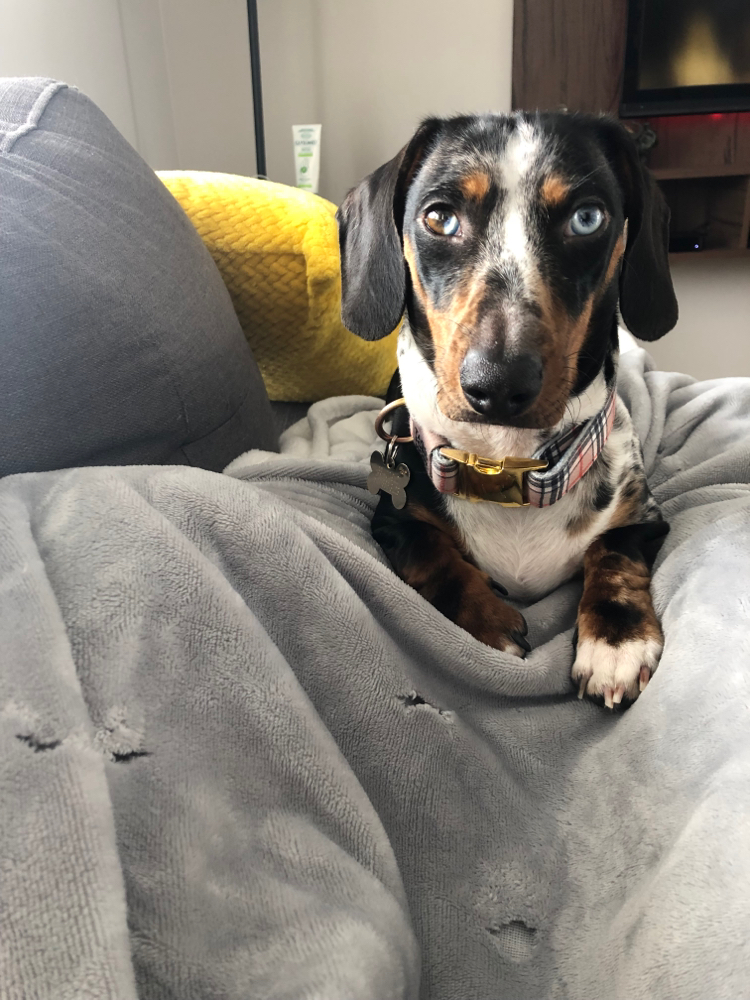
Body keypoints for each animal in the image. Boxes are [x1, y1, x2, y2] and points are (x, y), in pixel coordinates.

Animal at [336, 112, 678, 707]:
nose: (497, 384)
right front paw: (488, 621)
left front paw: (615, 641)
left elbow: (613, 553)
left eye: (587, 218)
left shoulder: (645, 519)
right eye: (439, 217)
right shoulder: (394, 519)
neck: (507, 463)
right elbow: (433, 554)